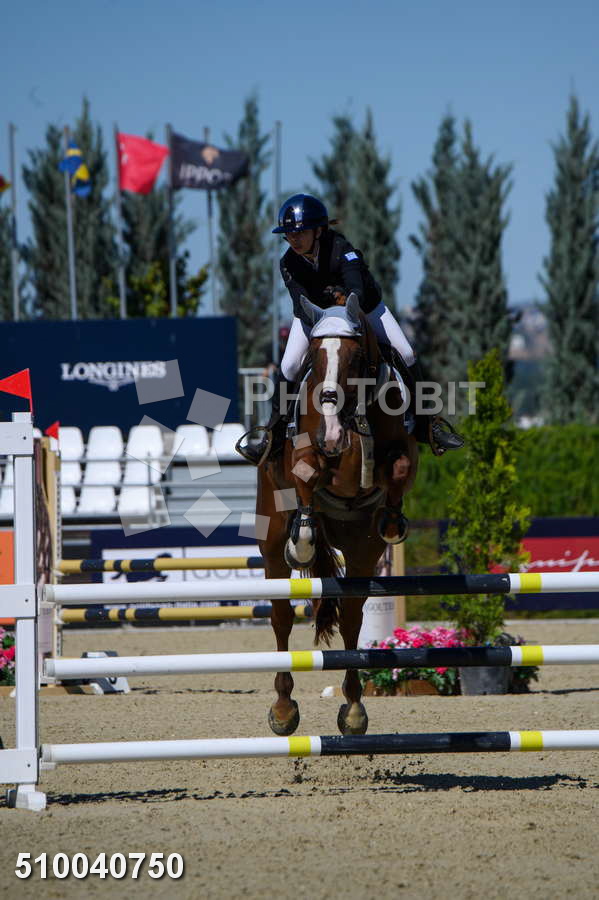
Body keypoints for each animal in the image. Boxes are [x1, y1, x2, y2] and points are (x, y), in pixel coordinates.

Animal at [256, 293, 419, 736]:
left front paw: (393, 520)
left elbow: (398, 468)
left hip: (361, 551)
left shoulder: (404, 453)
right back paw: (282, 710)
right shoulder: (306, 453)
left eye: (356, 355)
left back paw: (354, 709)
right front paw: (304, 542)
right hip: (270, 543)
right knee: (281, 618)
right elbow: (306, 472)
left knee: (350, 620)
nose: (330, 435)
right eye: (314, 356)